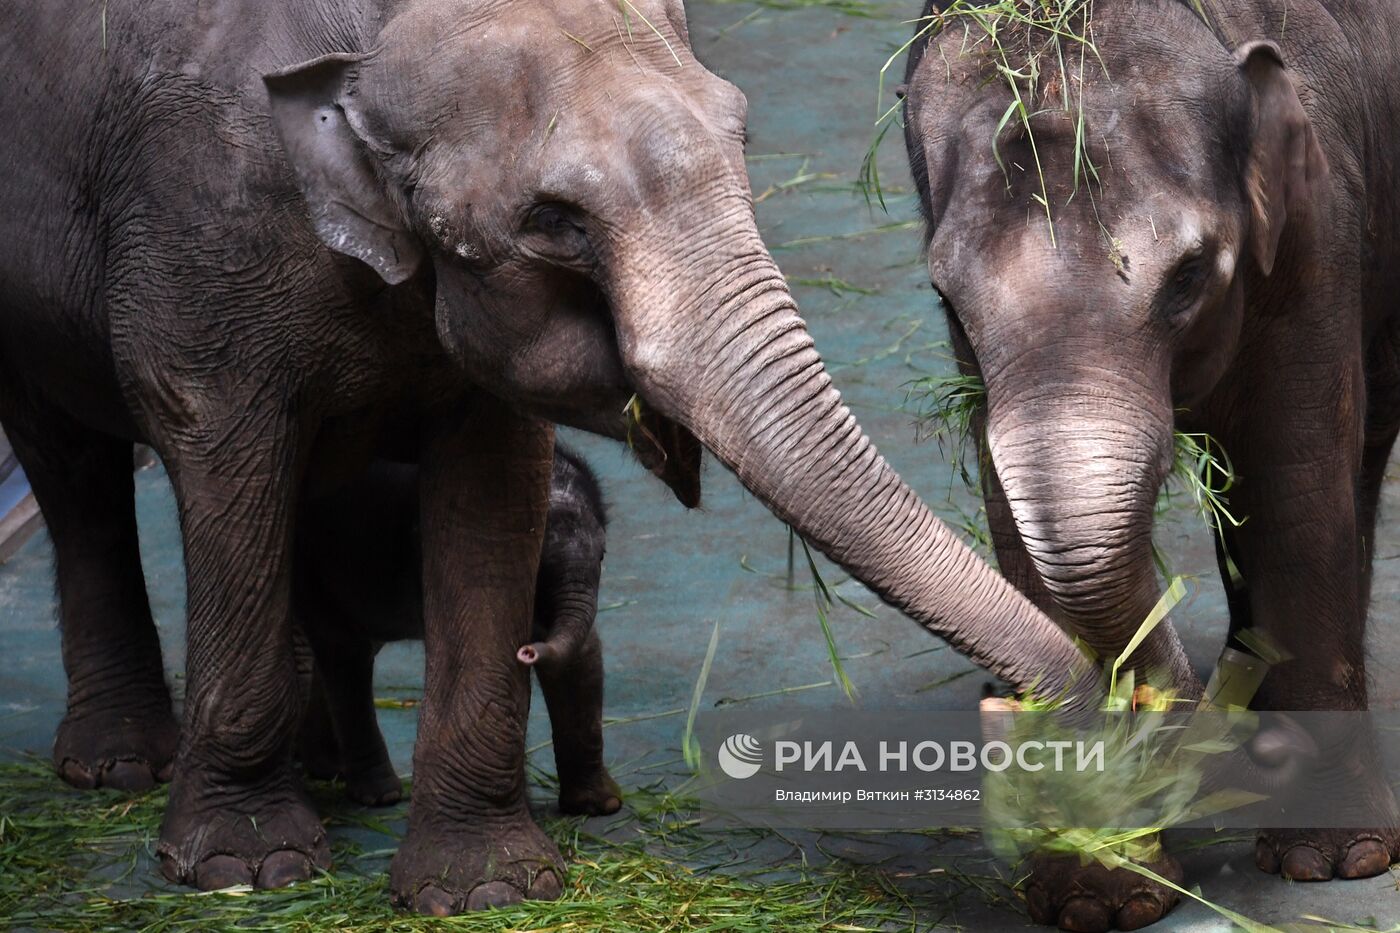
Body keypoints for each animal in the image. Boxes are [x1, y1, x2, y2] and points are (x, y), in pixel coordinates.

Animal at [296, 442, 624, 812]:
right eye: (540, 564)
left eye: (602, 555)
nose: (527, 652)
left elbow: (582, 656)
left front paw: (601, 807)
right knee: (344, 653)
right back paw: (381, 795)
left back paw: (328, 768)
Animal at [901, 0, 1400, 924]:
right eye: (947, 298)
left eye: (1190, 274)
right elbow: (1016, 528)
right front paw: (1095, 897)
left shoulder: (1321, 220)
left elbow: (1292, 485)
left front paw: (1336, 861)